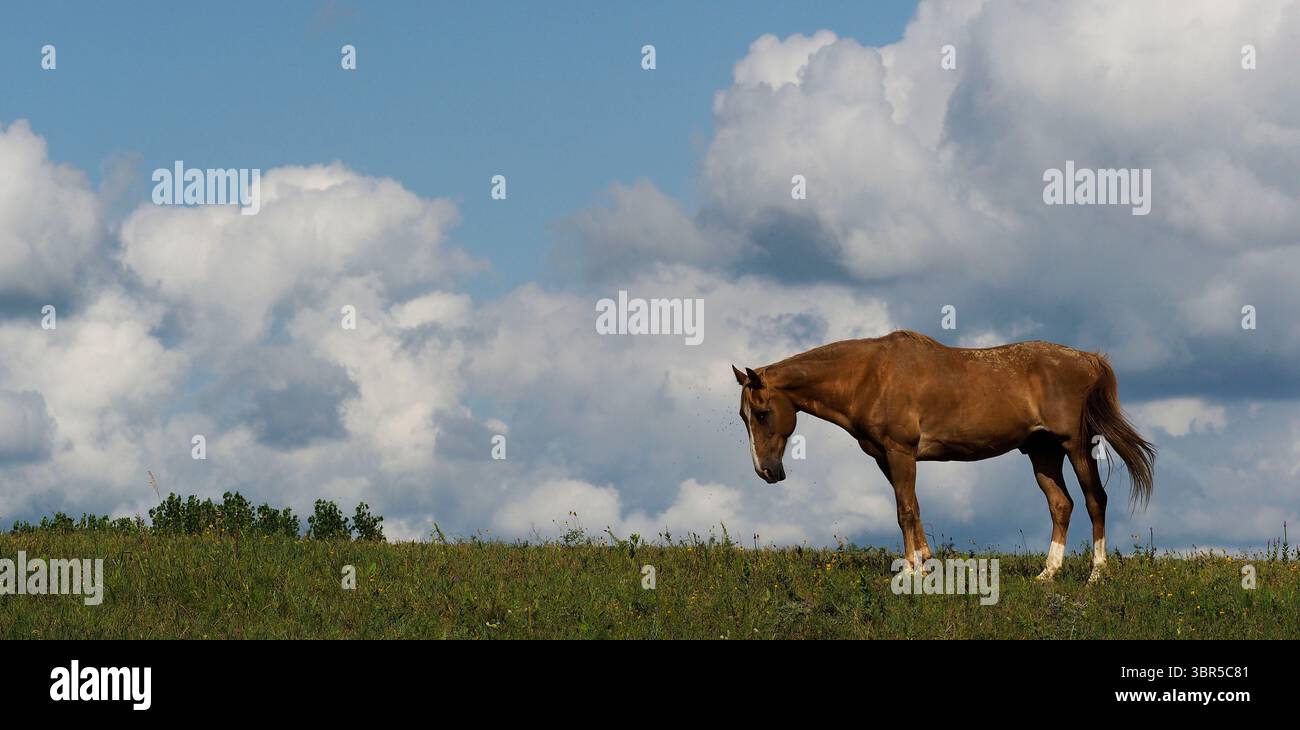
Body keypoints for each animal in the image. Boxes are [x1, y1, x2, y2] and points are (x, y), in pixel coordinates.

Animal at [732, 330, 1155, 582]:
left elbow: (904, 511)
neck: (869, 377)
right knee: (1061, 504)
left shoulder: (900, 451)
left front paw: (910, 571)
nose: (766, 471)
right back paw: (1047, 574)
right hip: (1043, 452)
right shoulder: (886, 457)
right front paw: (925, 563)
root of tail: (1088, 359)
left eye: (763, 413)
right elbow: (914, 508)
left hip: (1075, 445)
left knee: (1094, 500)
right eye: (743, 416)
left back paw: (1096, 574)